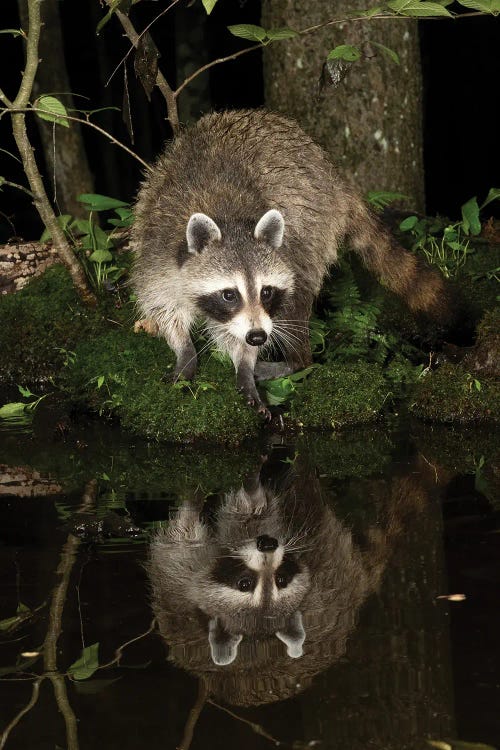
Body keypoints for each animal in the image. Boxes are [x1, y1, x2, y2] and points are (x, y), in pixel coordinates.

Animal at [130, 109, 454, 418]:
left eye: (266, 292)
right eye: (229, 294)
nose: (257, 337)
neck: (230, 221)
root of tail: (334, 174)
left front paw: (245, 362)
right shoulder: (157, 250)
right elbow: (162, 305)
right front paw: (185, 349)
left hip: (315, 229)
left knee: (297, 299)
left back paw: (297, 361)